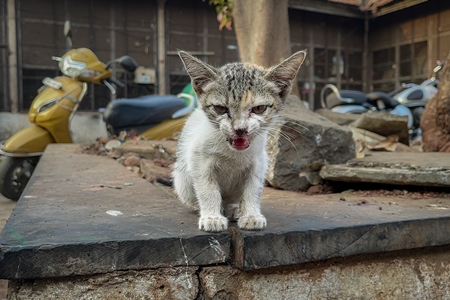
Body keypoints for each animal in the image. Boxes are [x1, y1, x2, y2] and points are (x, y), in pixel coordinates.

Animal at [172, 51, 306, 232]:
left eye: (259, 108)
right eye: (220, 108)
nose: (240, 129)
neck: (234, 152)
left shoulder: (259, 161)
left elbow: (253, 189)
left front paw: (251, 215)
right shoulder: (198, 159)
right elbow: (208, 189)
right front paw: (212, 217)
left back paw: (234, 208)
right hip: (182, 180)